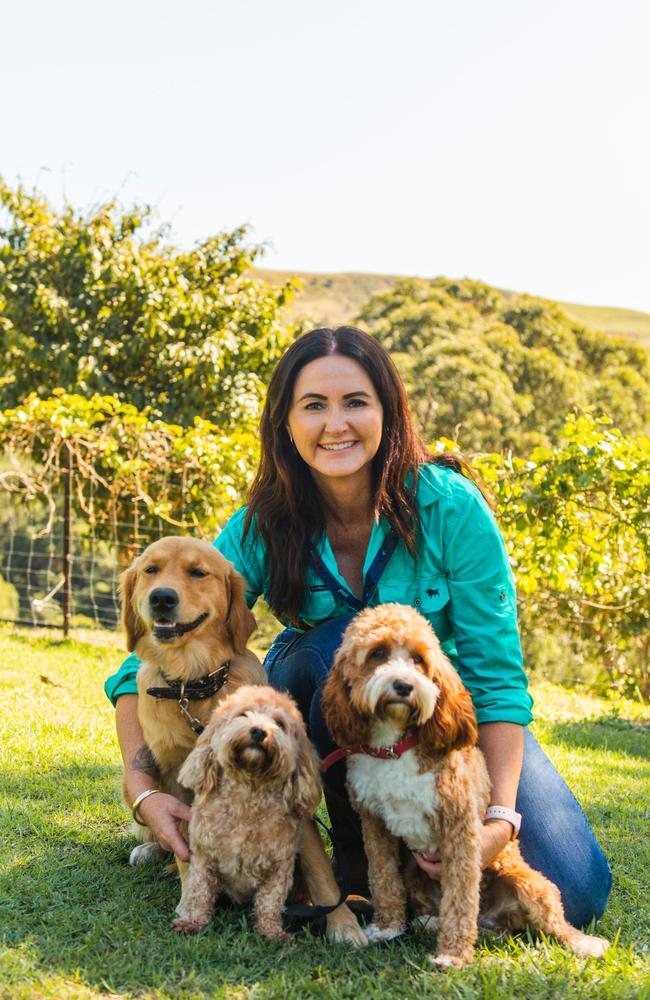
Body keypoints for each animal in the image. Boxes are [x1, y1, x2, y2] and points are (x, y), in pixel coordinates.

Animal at [172, 684, 322, 940]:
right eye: (243, 714)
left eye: (279, 723)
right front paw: (193, 921)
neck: (247, 793)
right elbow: (200, 892)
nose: (259, 731)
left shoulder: (279, 867)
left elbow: (270, 901)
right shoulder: (203, 856)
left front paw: (272, 931)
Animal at [320, 600, 608, 968]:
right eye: (378, 653)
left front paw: (452, 954)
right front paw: (387, 927)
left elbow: (460, 899)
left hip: (529, 883)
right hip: (414, 872)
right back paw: (430, 922)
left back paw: (585, 943)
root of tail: (493, 918)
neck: (395, 746)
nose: (404, 686)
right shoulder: (375, 825)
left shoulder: (459, 830)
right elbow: (384, 880)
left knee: (551, 921)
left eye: (419, 659)